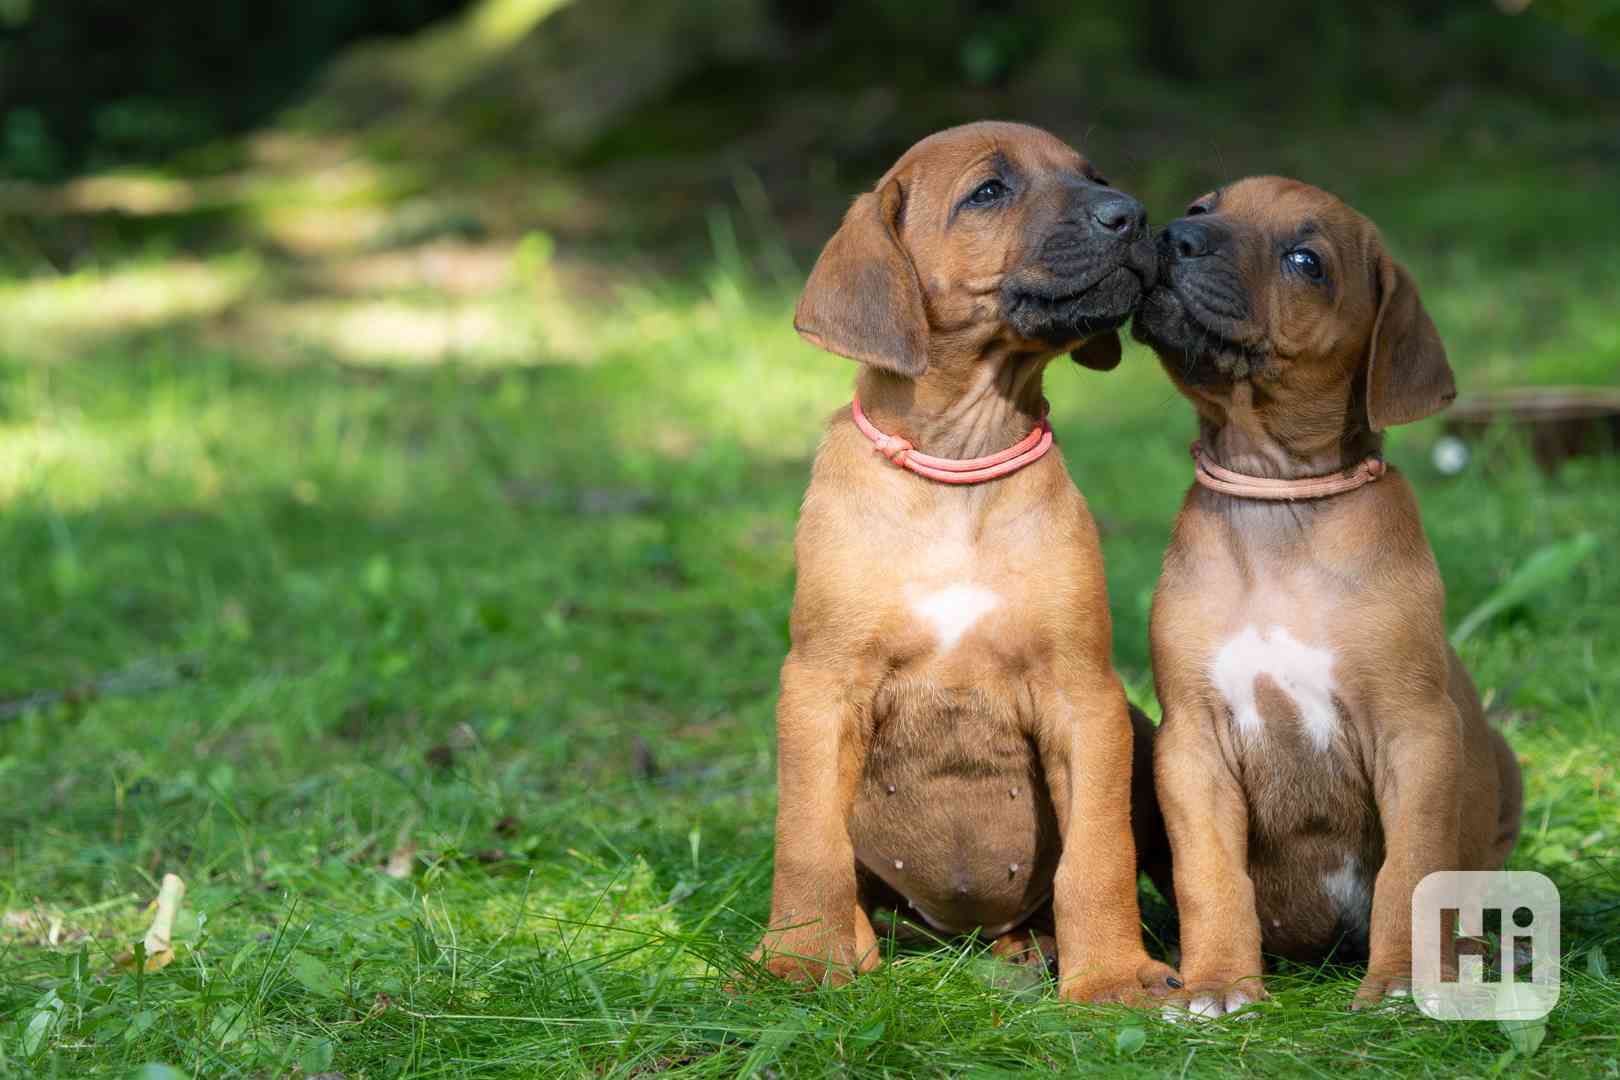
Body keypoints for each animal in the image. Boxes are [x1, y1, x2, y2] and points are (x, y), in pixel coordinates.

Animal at [1134, 175, 1522, 1016]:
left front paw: (1404, 980)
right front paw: (1218, 981)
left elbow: (1413, 869)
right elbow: (1209, 874)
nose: (1175, 236)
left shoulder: (1416, 733)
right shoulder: (1191, 744)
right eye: (1204, 207)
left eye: (1306, 261)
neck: (1279, 501)